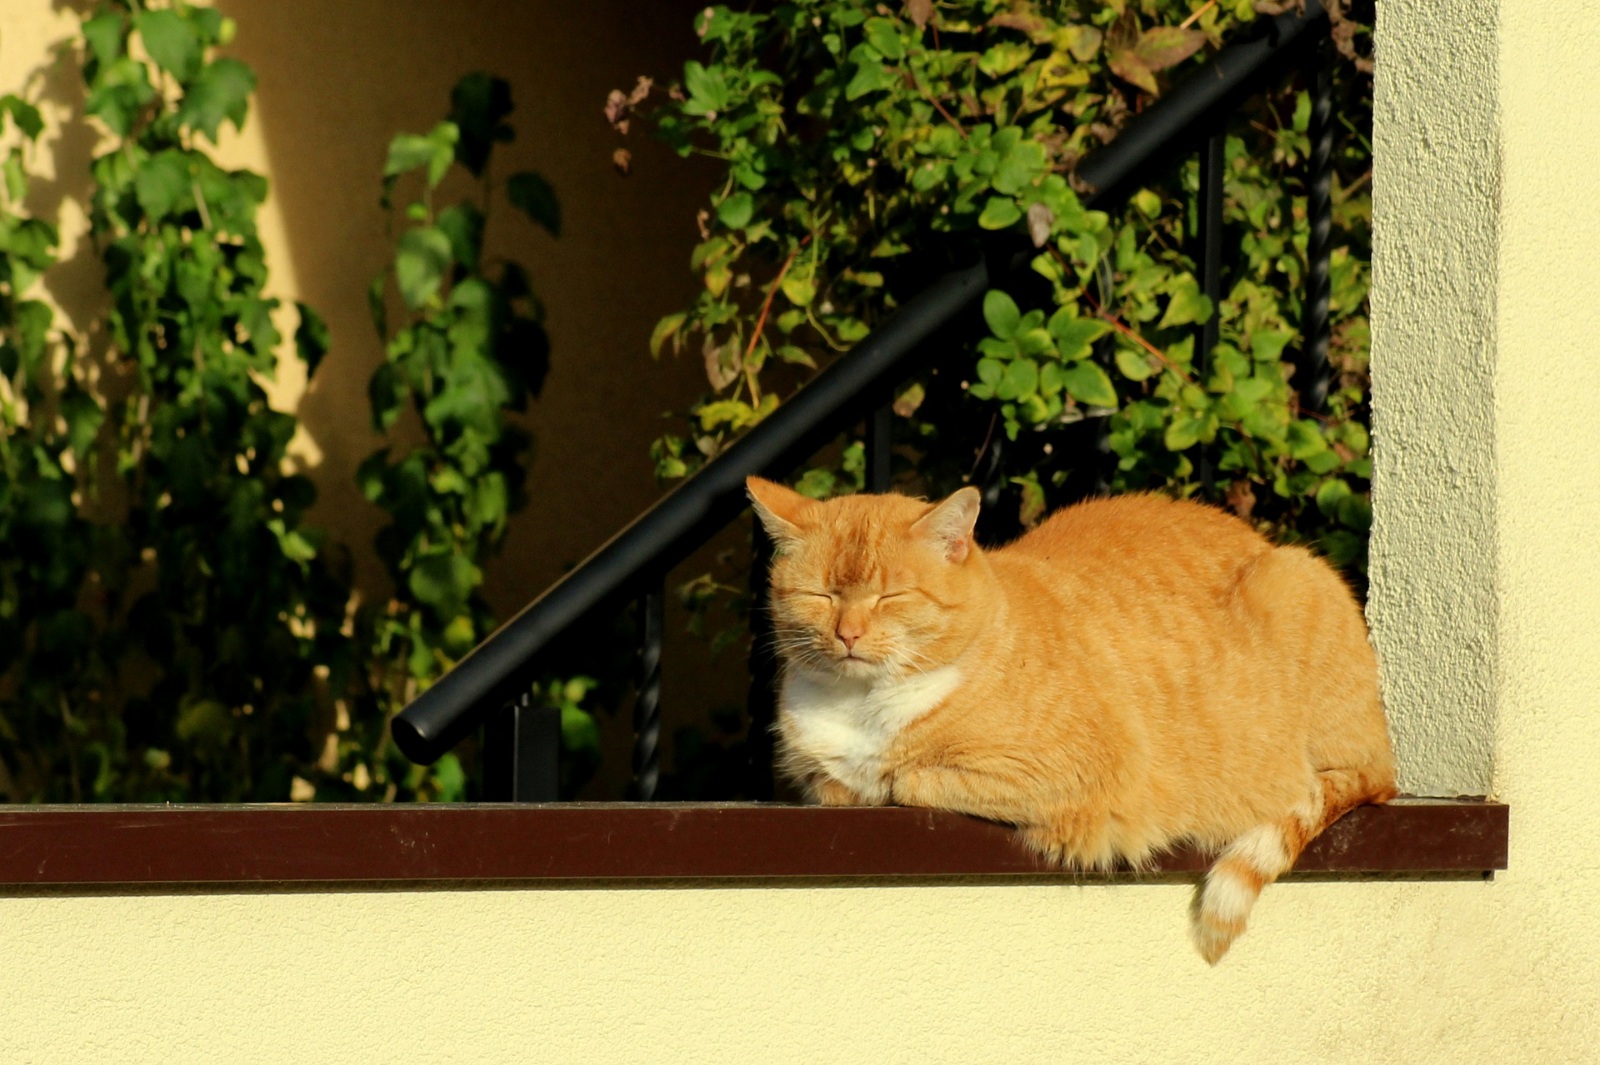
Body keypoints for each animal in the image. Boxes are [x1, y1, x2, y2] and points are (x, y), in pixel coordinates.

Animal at [742, 479, 1395, 959]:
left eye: (891, 597)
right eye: (822, 597)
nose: (848, 634)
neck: (864, 703)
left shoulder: (1086, 775)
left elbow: (907, 779)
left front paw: (884, 779)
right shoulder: (814, 775)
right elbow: (835, 784)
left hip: (1295, 586)